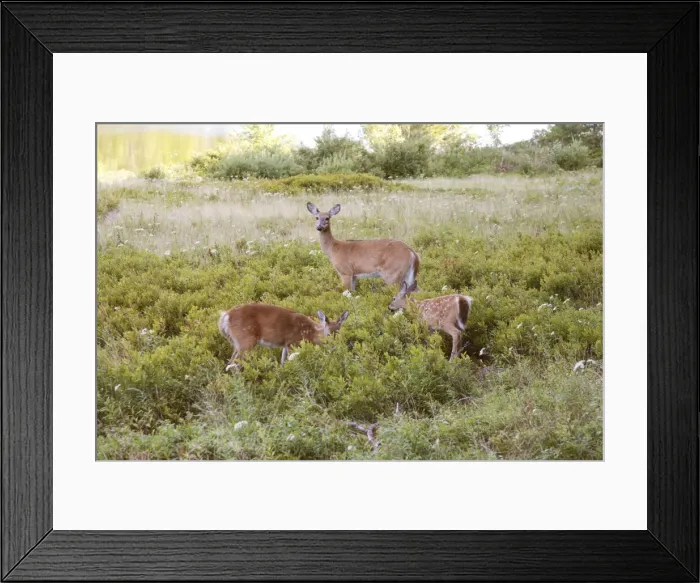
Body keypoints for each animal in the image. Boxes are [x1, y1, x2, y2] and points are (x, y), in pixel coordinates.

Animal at [218, 303, 349, 370]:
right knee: (233, 363)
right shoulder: (293, 342)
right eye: (328, 334)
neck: (310, 333)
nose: (334, 346)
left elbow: (282, 363)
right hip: (246, 340)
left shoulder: (285, 345)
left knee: (230, 362)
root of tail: (225, 316)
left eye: (339, 332)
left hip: (237, 343)